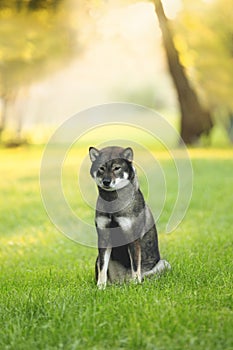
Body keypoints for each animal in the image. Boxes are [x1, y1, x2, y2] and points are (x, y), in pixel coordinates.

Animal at [88, 146, 170, 288]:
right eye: (101, 168)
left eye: (117, 168)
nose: (106, 182)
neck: (112, 202)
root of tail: (122, 281)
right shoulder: (104, 237)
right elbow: (102, 267)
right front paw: (100, 287)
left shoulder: (132, 237)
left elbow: (135, 265)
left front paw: (136, 283)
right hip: (98, 259)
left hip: (164, 264)